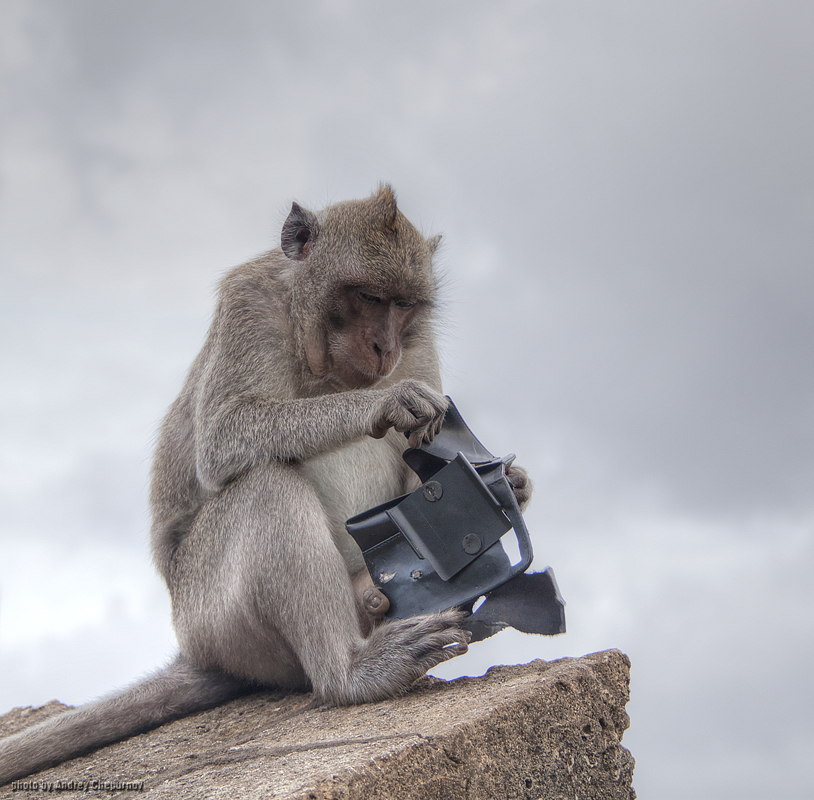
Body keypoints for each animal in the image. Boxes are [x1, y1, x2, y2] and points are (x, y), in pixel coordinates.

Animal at [0, 184, 532, 784]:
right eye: (369, 297)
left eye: (402, 305)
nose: (385, 347)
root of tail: (198, 652)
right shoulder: (248, 305)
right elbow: (225, 435)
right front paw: (384, 403)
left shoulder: (419, 345)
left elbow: (423, 458)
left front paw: (511, 483)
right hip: (212, 618)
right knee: (265, 485)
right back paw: (351, 672)